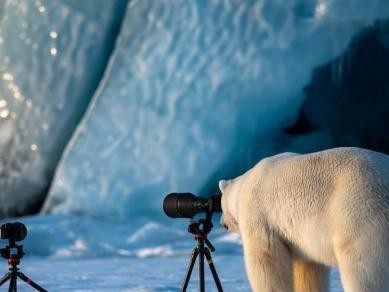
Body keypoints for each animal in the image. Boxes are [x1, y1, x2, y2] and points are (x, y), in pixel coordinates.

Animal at [220, 148, 388, 292]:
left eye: (221, 206)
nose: (222, 224)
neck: (244, 185)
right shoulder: (303, 239)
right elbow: (308, 269)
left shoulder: (258, 216)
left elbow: (266, 260)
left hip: (359, 214)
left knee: (363, 271)